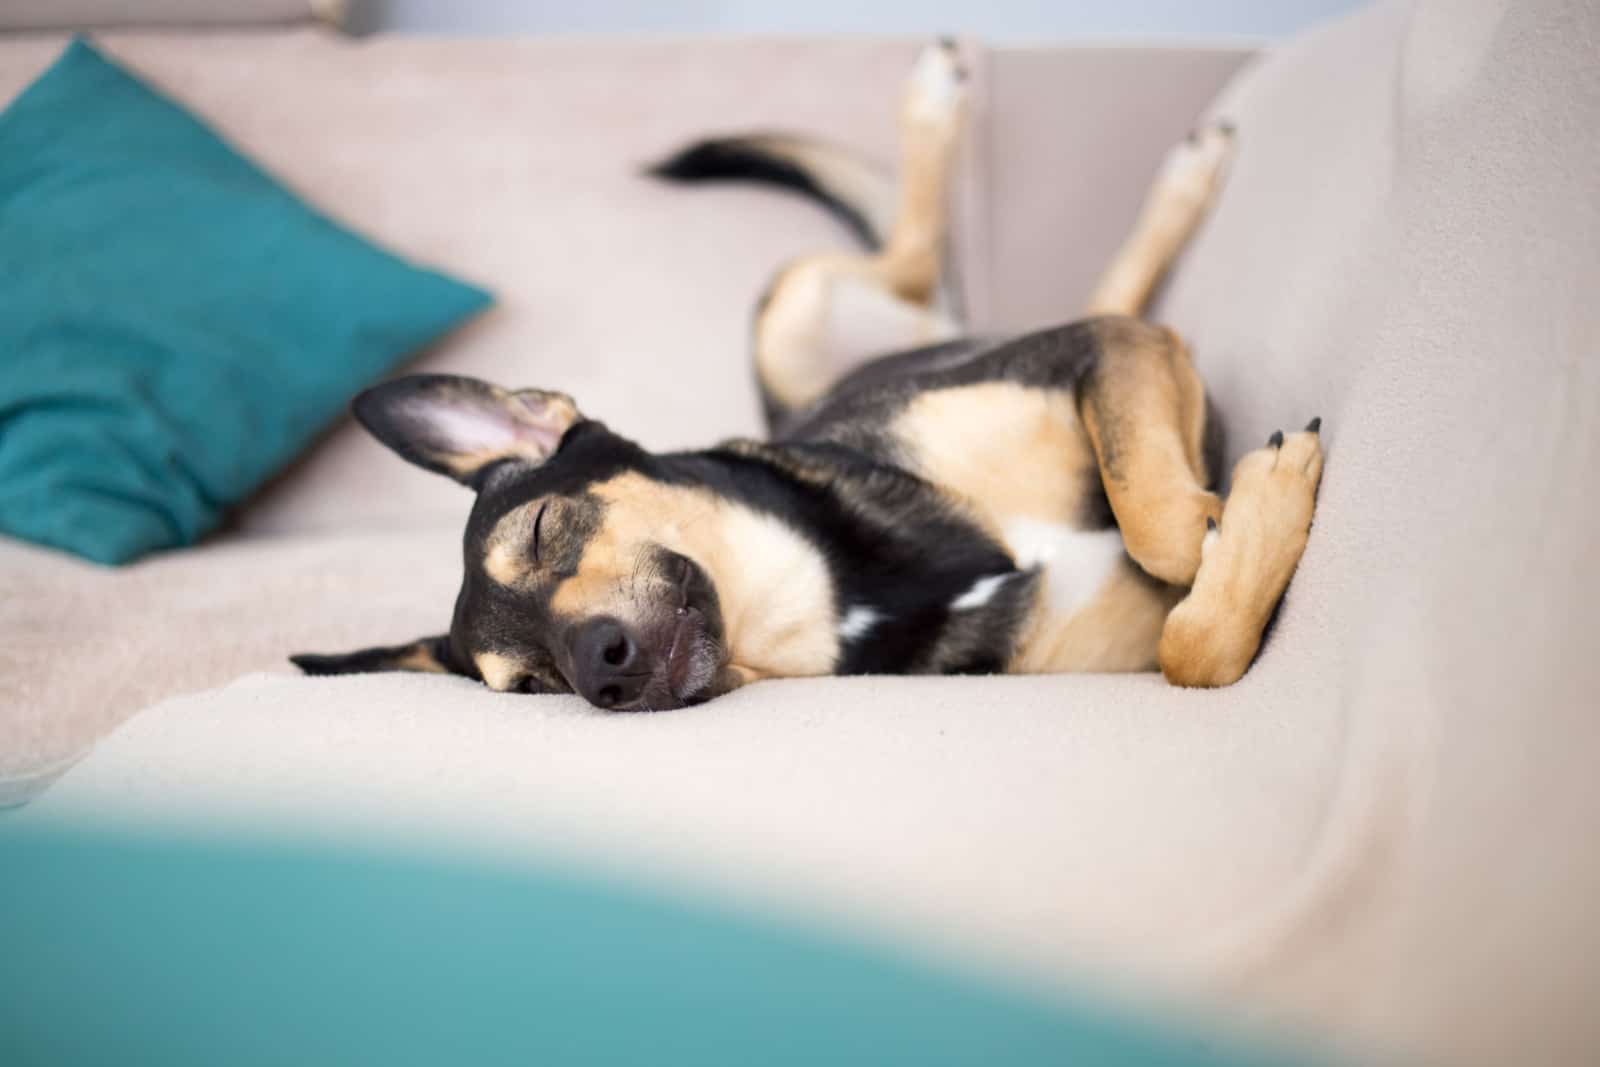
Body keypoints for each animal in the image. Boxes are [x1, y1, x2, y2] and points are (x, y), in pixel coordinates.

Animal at [294, 41, 1318, 710]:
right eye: (532, 685)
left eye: (544, 528)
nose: (601, 670)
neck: (836, 597)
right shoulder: (1125, 647)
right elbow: (1194, 647)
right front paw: (1256, 514)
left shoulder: (1096, 350)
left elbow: (1162, 529)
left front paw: (1241, 504)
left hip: (795, 304)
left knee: (931, 259)